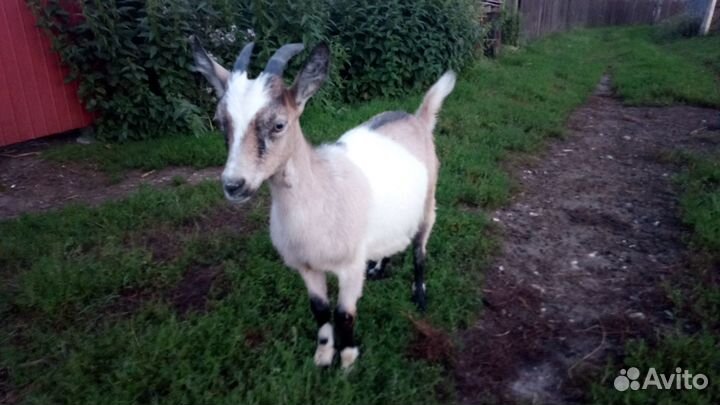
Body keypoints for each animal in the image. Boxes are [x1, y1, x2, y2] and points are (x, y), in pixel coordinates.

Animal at [192, 38, 455, 369]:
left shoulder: (350, 267)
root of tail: (417, 118)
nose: (233, 185)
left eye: (279, 125)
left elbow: (344, 314)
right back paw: (380, 267)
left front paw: (348, 358)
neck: (321, 191)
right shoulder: (306, 267)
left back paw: (419, 295)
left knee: (420, 249)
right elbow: (319, 310)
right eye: (220, 122)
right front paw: (323, 356)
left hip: (429, 200)